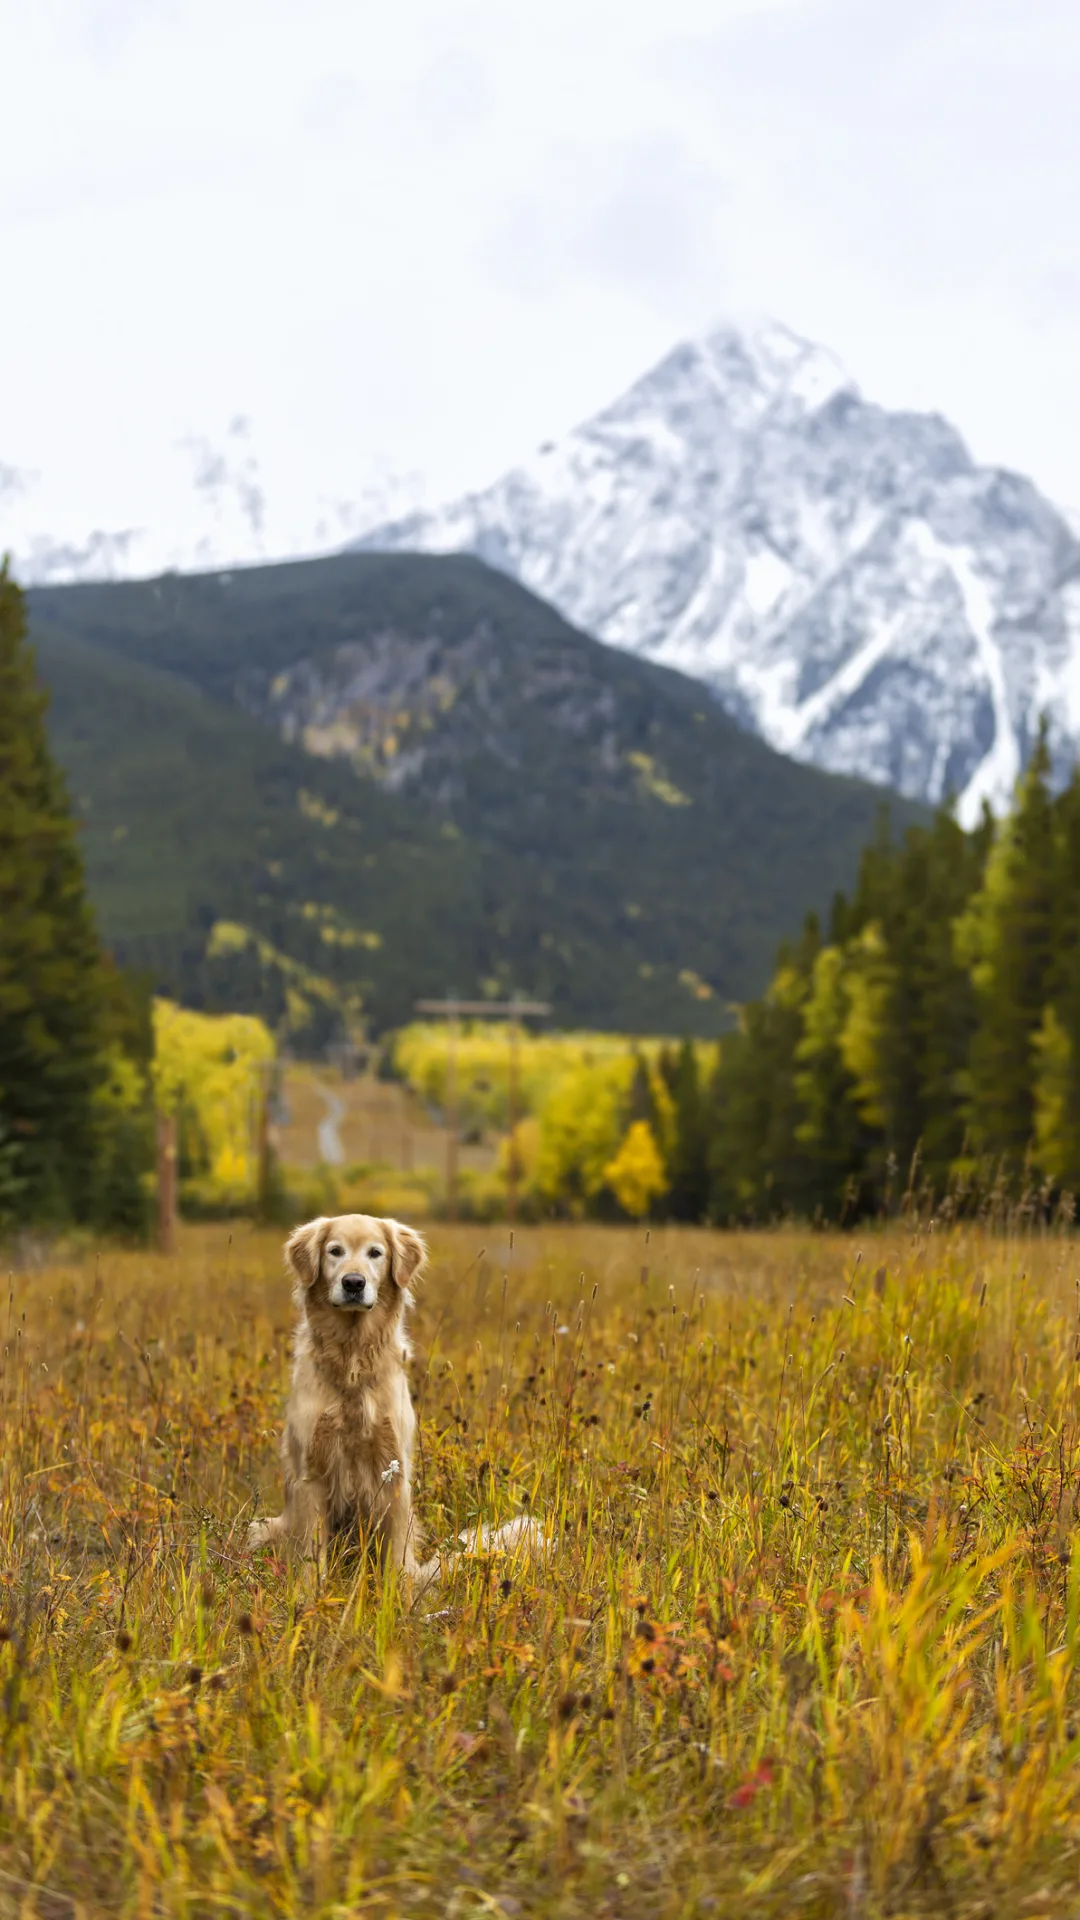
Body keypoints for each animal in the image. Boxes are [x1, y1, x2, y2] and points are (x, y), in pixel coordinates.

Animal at [247, 1213, 541, 1589]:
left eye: (375, 1253)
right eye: (334, 1251)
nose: (353, 1283)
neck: (352, 1363)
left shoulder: (393, 1473)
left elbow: (395, 1559)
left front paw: (397, 1599)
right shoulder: (311, 1474)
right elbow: (313, 1558)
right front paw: (311, 1596)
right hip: (259, 1527)